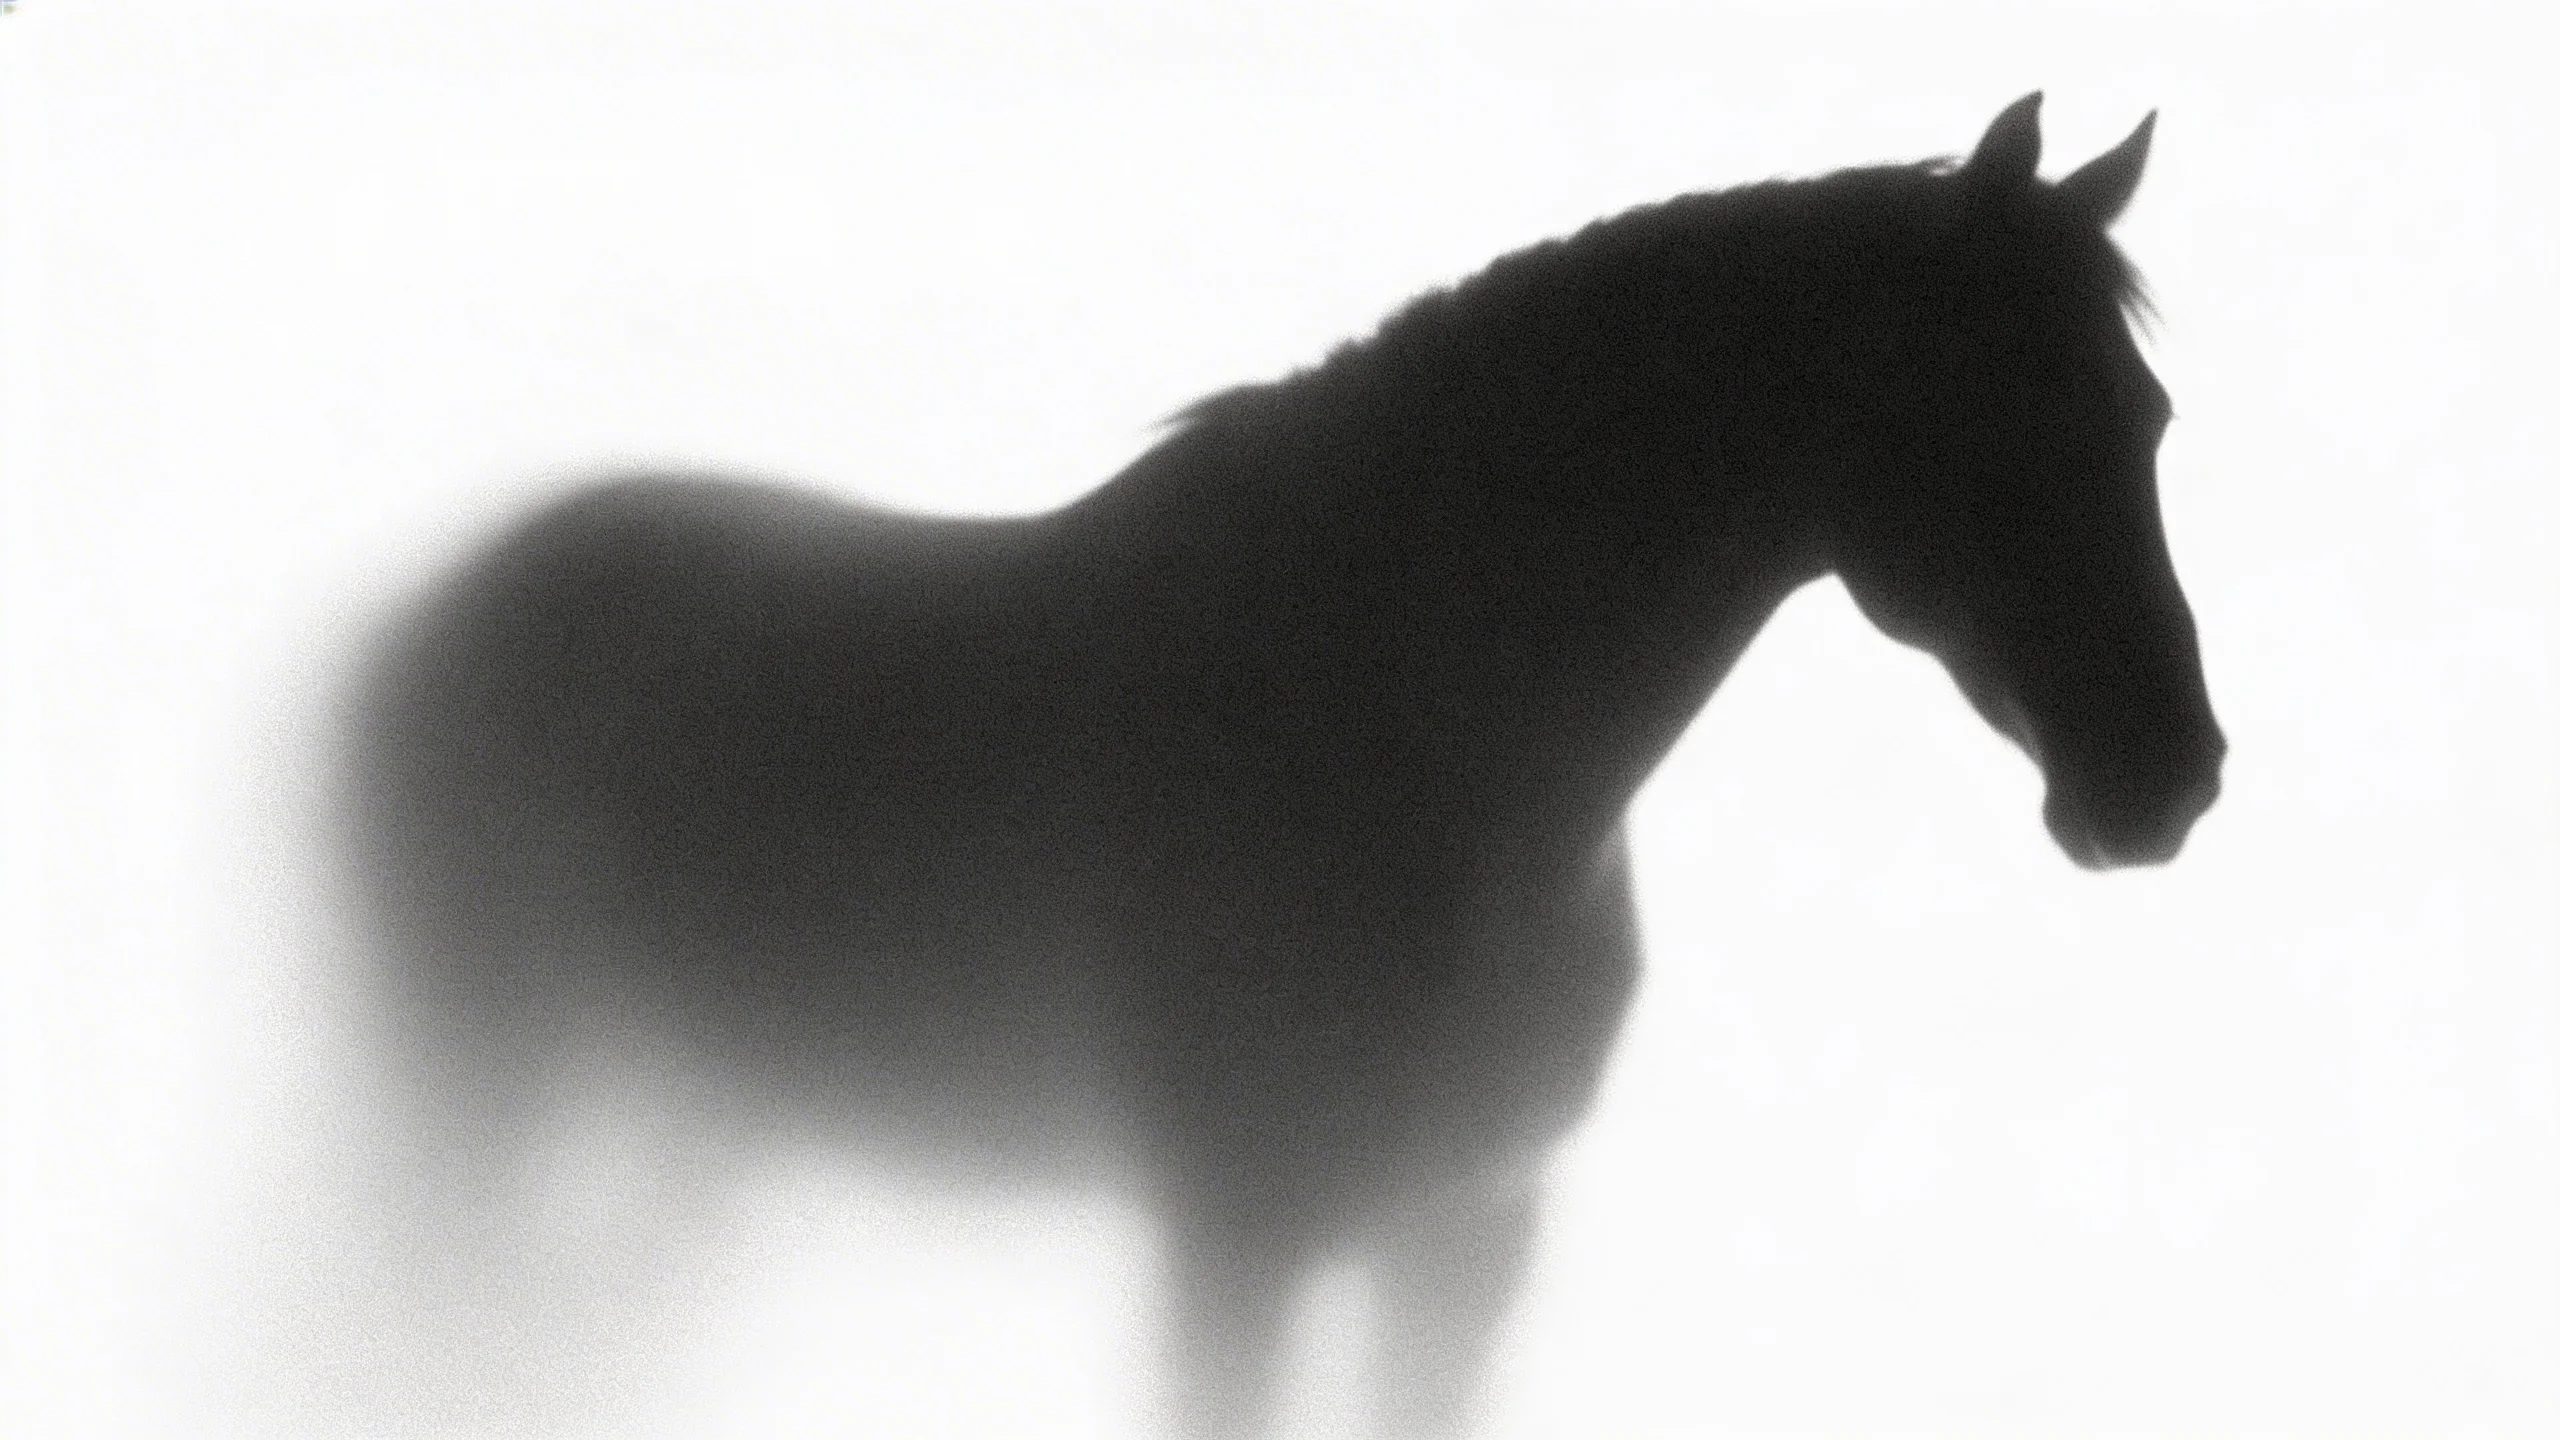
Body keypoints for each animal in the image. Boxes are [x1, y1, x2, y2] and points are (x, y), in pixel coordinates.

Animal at [339, 94, 2223, 1438]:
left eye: (2140, 420)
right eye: (1996, 426)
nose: (2168, 779)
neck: (1422, 745)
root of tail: (442, 609)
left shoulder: (1464, 1236)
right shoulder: (1242, 1237)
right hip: (485, 1095)